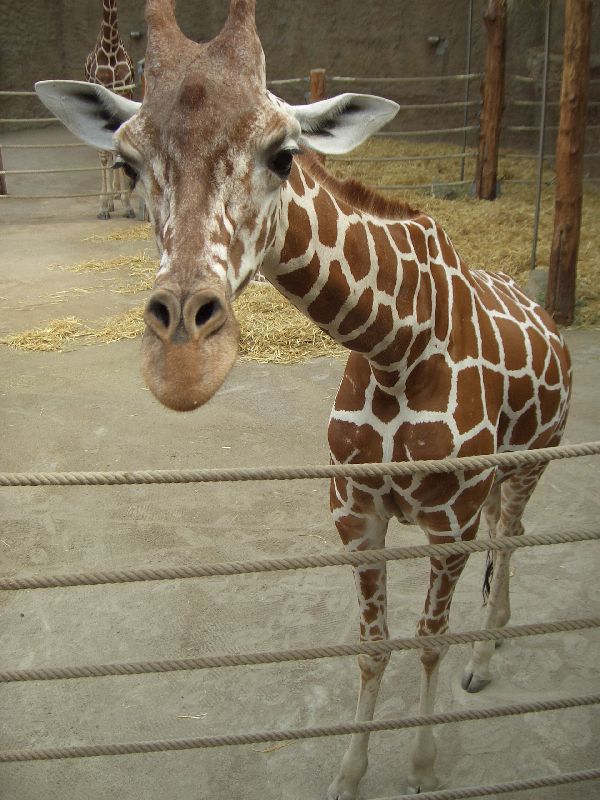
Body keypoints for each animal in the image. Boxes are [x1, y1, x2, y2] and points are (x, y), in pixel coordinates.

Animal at [34, 3, 572, 796]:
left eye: (284, 155)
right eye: (129, 164)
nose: (183, 365)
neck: (397, 347)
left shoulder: (451, 522)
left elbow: (430, 640)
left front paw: (423, 765)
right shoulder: (355, 514)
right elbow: (373, 645)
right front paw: (350, 775)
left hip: (533, 458)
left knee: (513, 534)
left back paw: (485, 657)